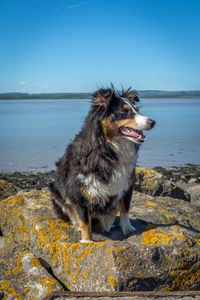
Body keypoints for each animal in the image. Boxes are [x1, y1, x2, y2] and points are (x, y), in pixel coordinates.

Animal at [49, 86, 155, 241]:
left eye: (136, 110)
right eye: (125, 111)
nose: (153, 122)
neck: (108, 147)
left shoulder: (127, 184)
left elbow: (125, 209)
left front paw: (127, 228)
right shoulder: (79, 191)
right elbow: (84, 220)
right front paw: (86, 241)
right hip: (54, 191)